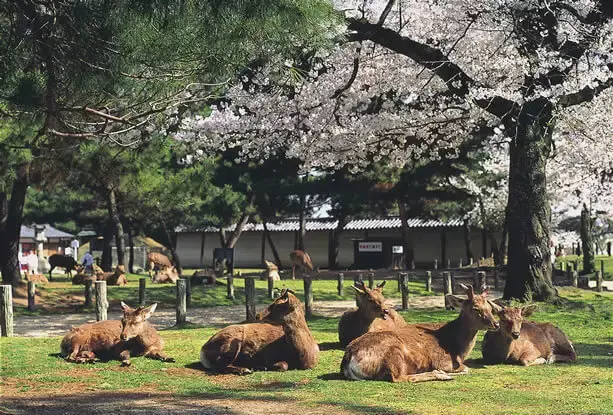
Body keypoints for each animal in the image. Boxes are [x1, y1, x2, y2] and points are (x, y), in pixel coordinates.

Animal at [340, 284, 502, 386]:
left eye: (490, 307)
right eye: (476, 308)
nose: (496, 324)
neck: (458, 349)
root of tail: (348, 358)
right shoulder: (443, 360)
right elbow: (467, 369)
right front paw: (443, 372)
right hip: (394, 352)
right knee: (398, 378)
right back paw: (440, 375)